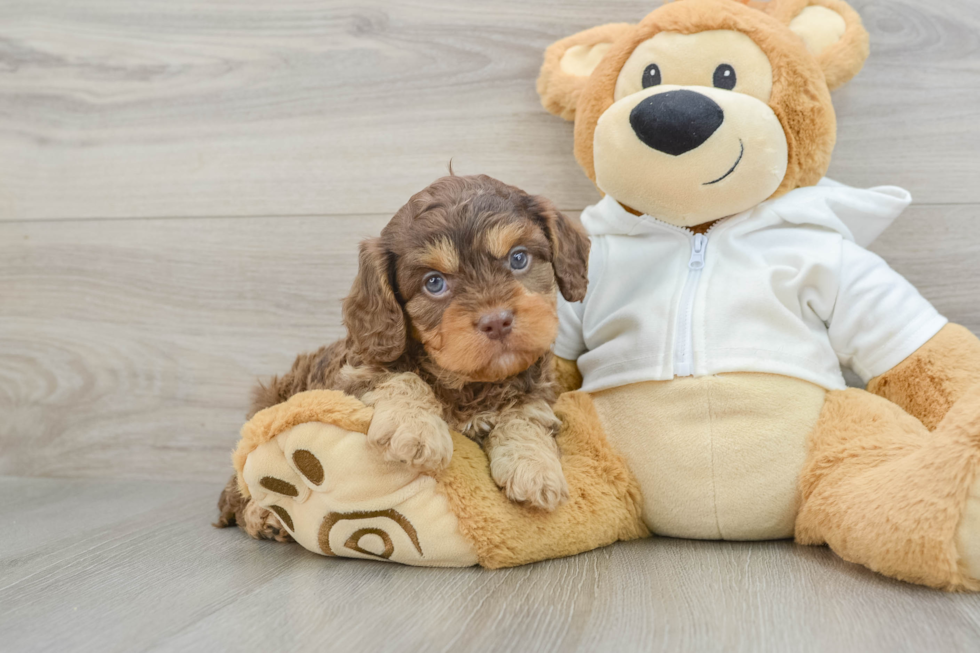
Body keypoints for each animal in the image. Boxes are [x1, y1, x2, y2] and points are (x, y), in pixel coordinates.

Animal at [218, 174, 588, 540]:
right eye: (434, 283)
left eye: (518, 259)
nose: (496, 321)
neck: (467, 380)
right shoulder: (355, 372)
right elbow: (402, 377)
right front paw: (416, 429)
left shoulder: (535, 388)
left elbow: (525, 415)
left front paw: (535, 468)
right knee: (239, 488)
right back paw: (262, 517)